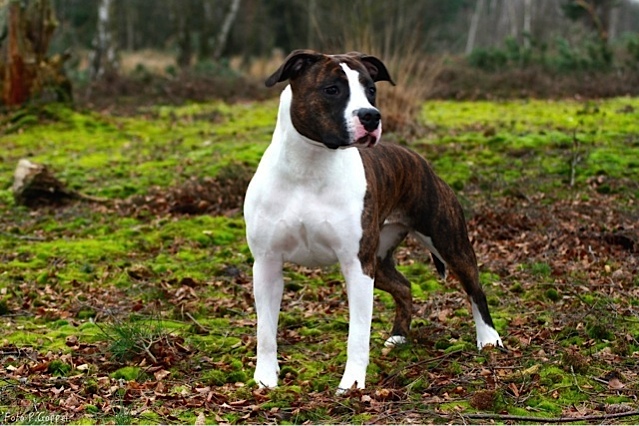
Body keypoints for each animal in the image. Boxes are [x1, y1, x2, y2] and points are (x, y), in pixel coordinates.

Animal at [243, 49, 504, 393]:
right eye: (332, 89)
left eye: (370, 90)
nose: (371, 116)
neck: (309, 166)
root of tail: (419, 160)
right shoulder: (267, 264)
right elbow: (265, 331)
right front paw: (265, 378)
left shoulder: (357, 266)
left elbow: (357, 334)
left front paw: (352, 383)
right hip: (379, 260)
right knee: (404, 286)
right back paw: (399, 336)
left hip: (447, 243)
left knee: (475, 289)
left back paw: (488, 339)